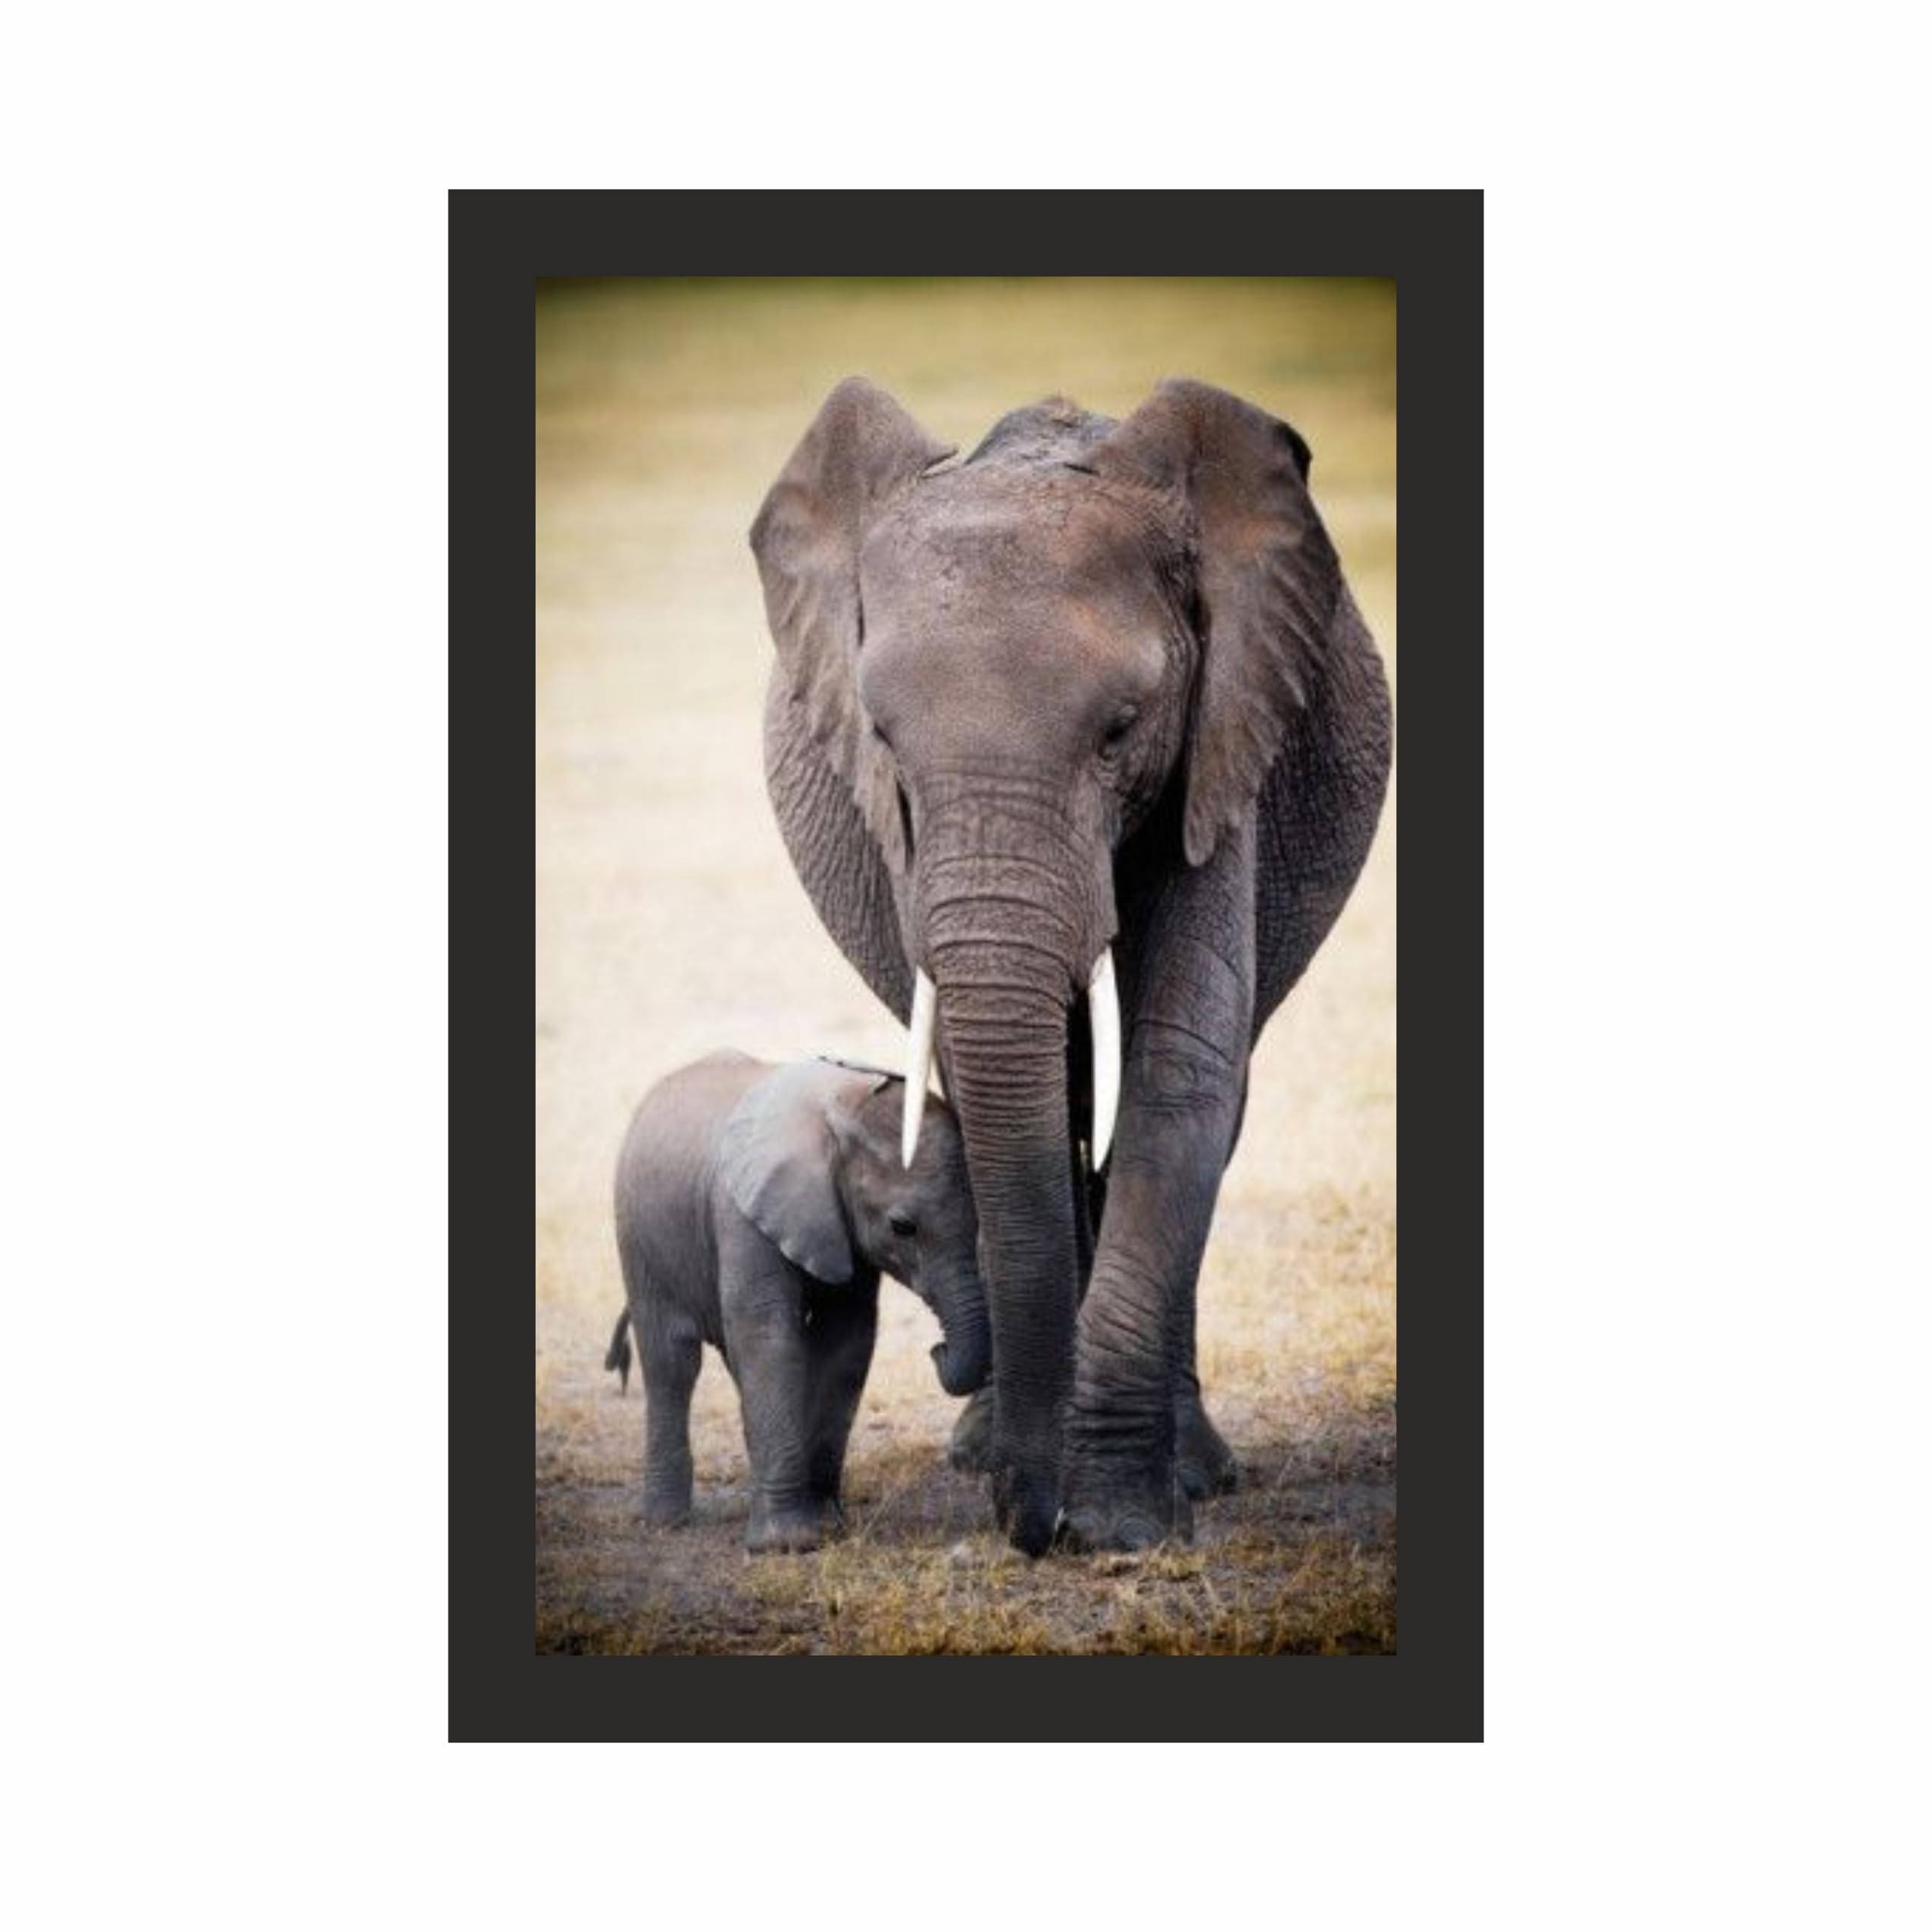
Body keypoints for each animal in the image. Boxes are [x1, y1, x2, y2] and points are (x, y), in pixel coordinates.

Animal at [607, 1051, 990, 1552]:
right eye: (902, 1227)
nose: (938, 1350)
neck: (842, 1108)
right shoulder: (742, 1215)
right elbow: (770, 1337)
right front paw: (786, 1544)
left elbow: (846, 1340)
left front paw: (825, 1525)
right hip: (639, 1239)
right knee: (671, 1362)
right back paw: (665, 1522)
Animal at [750, 377, 1392, 1556]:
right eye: (881, 738)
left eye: (1121, 730)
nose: (1028, 1522)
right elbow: (1010, 1085)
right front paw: (1046, 1487)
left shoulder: (1221, 737)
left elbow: (1178, 1069)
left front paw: (1122, 1525)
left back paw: (1194, 1470)